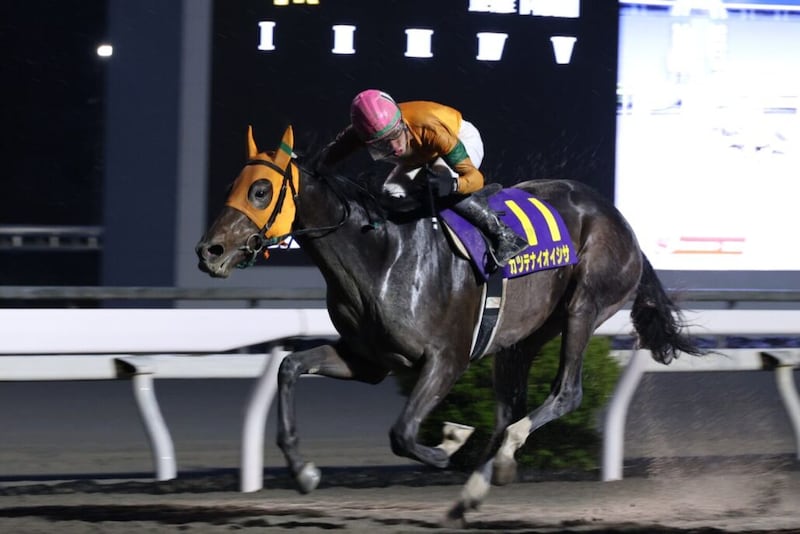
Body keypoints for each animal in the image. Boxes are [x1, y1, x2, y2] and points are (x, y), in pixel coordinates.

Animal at [195, 125, 703, 526]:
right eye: (233, 184)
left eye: (261, 190)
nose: (209, 251)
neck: (382, 254)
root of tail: (620, 221)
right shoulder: (368, 359)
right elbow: (289, 367)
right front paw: (303, 471)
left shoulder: (446, 358)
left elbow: (402, 434)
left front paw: (450, 441)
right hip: (523, 334)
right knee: (509, 406)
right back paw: (477, 488)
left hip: (584, 305)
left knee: (565, 393)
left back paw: (500, 457)